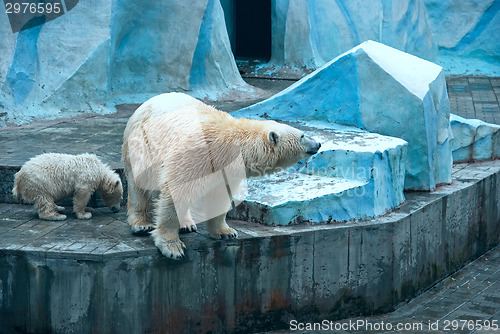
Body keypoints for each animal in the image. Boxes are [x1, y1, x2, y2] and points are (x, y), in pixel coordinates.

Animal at [123, 92, 322, 260]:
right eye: (302, 136)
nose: (318, 144)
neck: (230, 144)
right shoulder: (195, 155)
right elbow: (176, 192)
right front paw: (172, 247)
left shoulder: (225, 170)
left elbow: (220, 195)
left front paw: (226, 232)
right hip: (142, 144)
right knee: (139, 186)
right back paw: (141, 224)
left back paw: (187, 223)